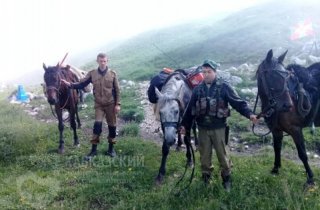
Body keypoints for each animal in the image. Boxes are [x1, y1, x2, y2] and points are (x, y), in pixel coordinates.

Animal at [255, 49, 316, 187]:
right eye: (272, 75)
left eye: (287, 77)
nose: (288, 105)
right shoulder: (276, 130)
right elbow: (277, 148)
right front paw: (275, 169)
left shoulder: (295, 130)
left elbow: (302, 154)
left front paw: (310, 178)